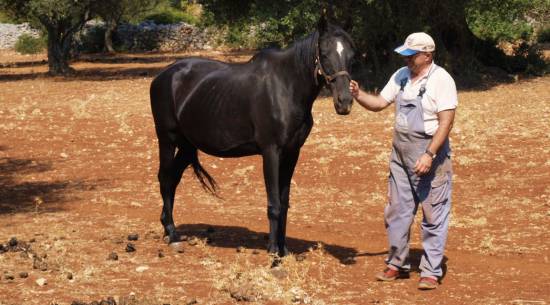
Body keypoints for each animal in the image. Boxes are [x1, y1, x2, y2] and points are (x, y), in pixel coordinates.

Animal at [151, 15, 356, 255]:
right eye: (323, 53)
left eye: (351, 55)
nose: (345, 102)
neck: (285, 87)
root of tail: (164, 75)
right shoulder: (271, 152)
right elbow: (274, 204)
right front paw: (273, 251)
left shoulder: (292, 153)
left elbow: (284, 202)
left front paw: (284, 249)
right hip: (167, 139)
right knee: (165, 178)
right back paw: (173, 234)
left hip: (187, 145)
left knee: (173, 179)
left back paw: (168, 228)